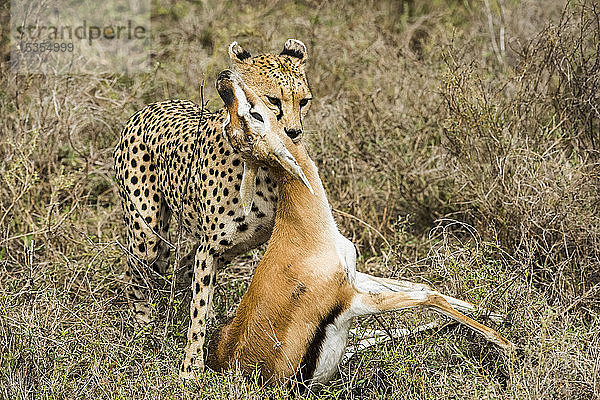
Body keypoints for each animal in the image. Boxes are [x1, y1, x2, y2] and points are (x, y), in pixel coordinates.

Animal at [115, 39, 316, 376]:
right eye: (273, 100)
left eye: (303, 102)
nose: (294, 133)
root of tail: (150, 106)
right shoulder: (209, 249)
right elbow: (199, 309)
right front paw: (190, 368)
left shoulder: (241, 244)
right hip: (147, 234)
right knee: (137, 272)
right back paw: (143, 329)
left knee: (176, 269)